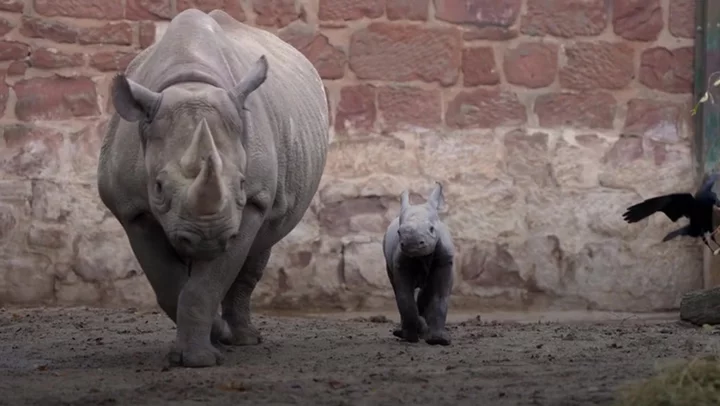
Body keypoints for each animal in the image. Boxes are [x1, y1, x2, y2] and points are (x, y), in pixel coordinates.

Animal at [97, 8, 330, 368]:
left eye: (242, 183)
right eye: (159, 187)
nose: (207, 237)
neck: (191, 82)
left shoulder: (252, 202)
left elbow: (208, 282)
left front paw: (200, 357)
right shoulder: (133, 210)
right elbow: (167, 282)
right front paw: (205, 343)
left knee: (260, 248)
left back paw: (244, 339)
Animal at [382, 182, 456, 344]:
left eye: (432, 229)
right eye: (399, 232)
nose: (413, 243)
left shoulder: (444, 260)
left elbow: (440, 297)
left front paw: (438, 340)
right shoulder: (401, 264)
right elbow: (405, 299)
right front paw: (411, 337)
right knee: (397, 288)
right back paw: (410, 331)